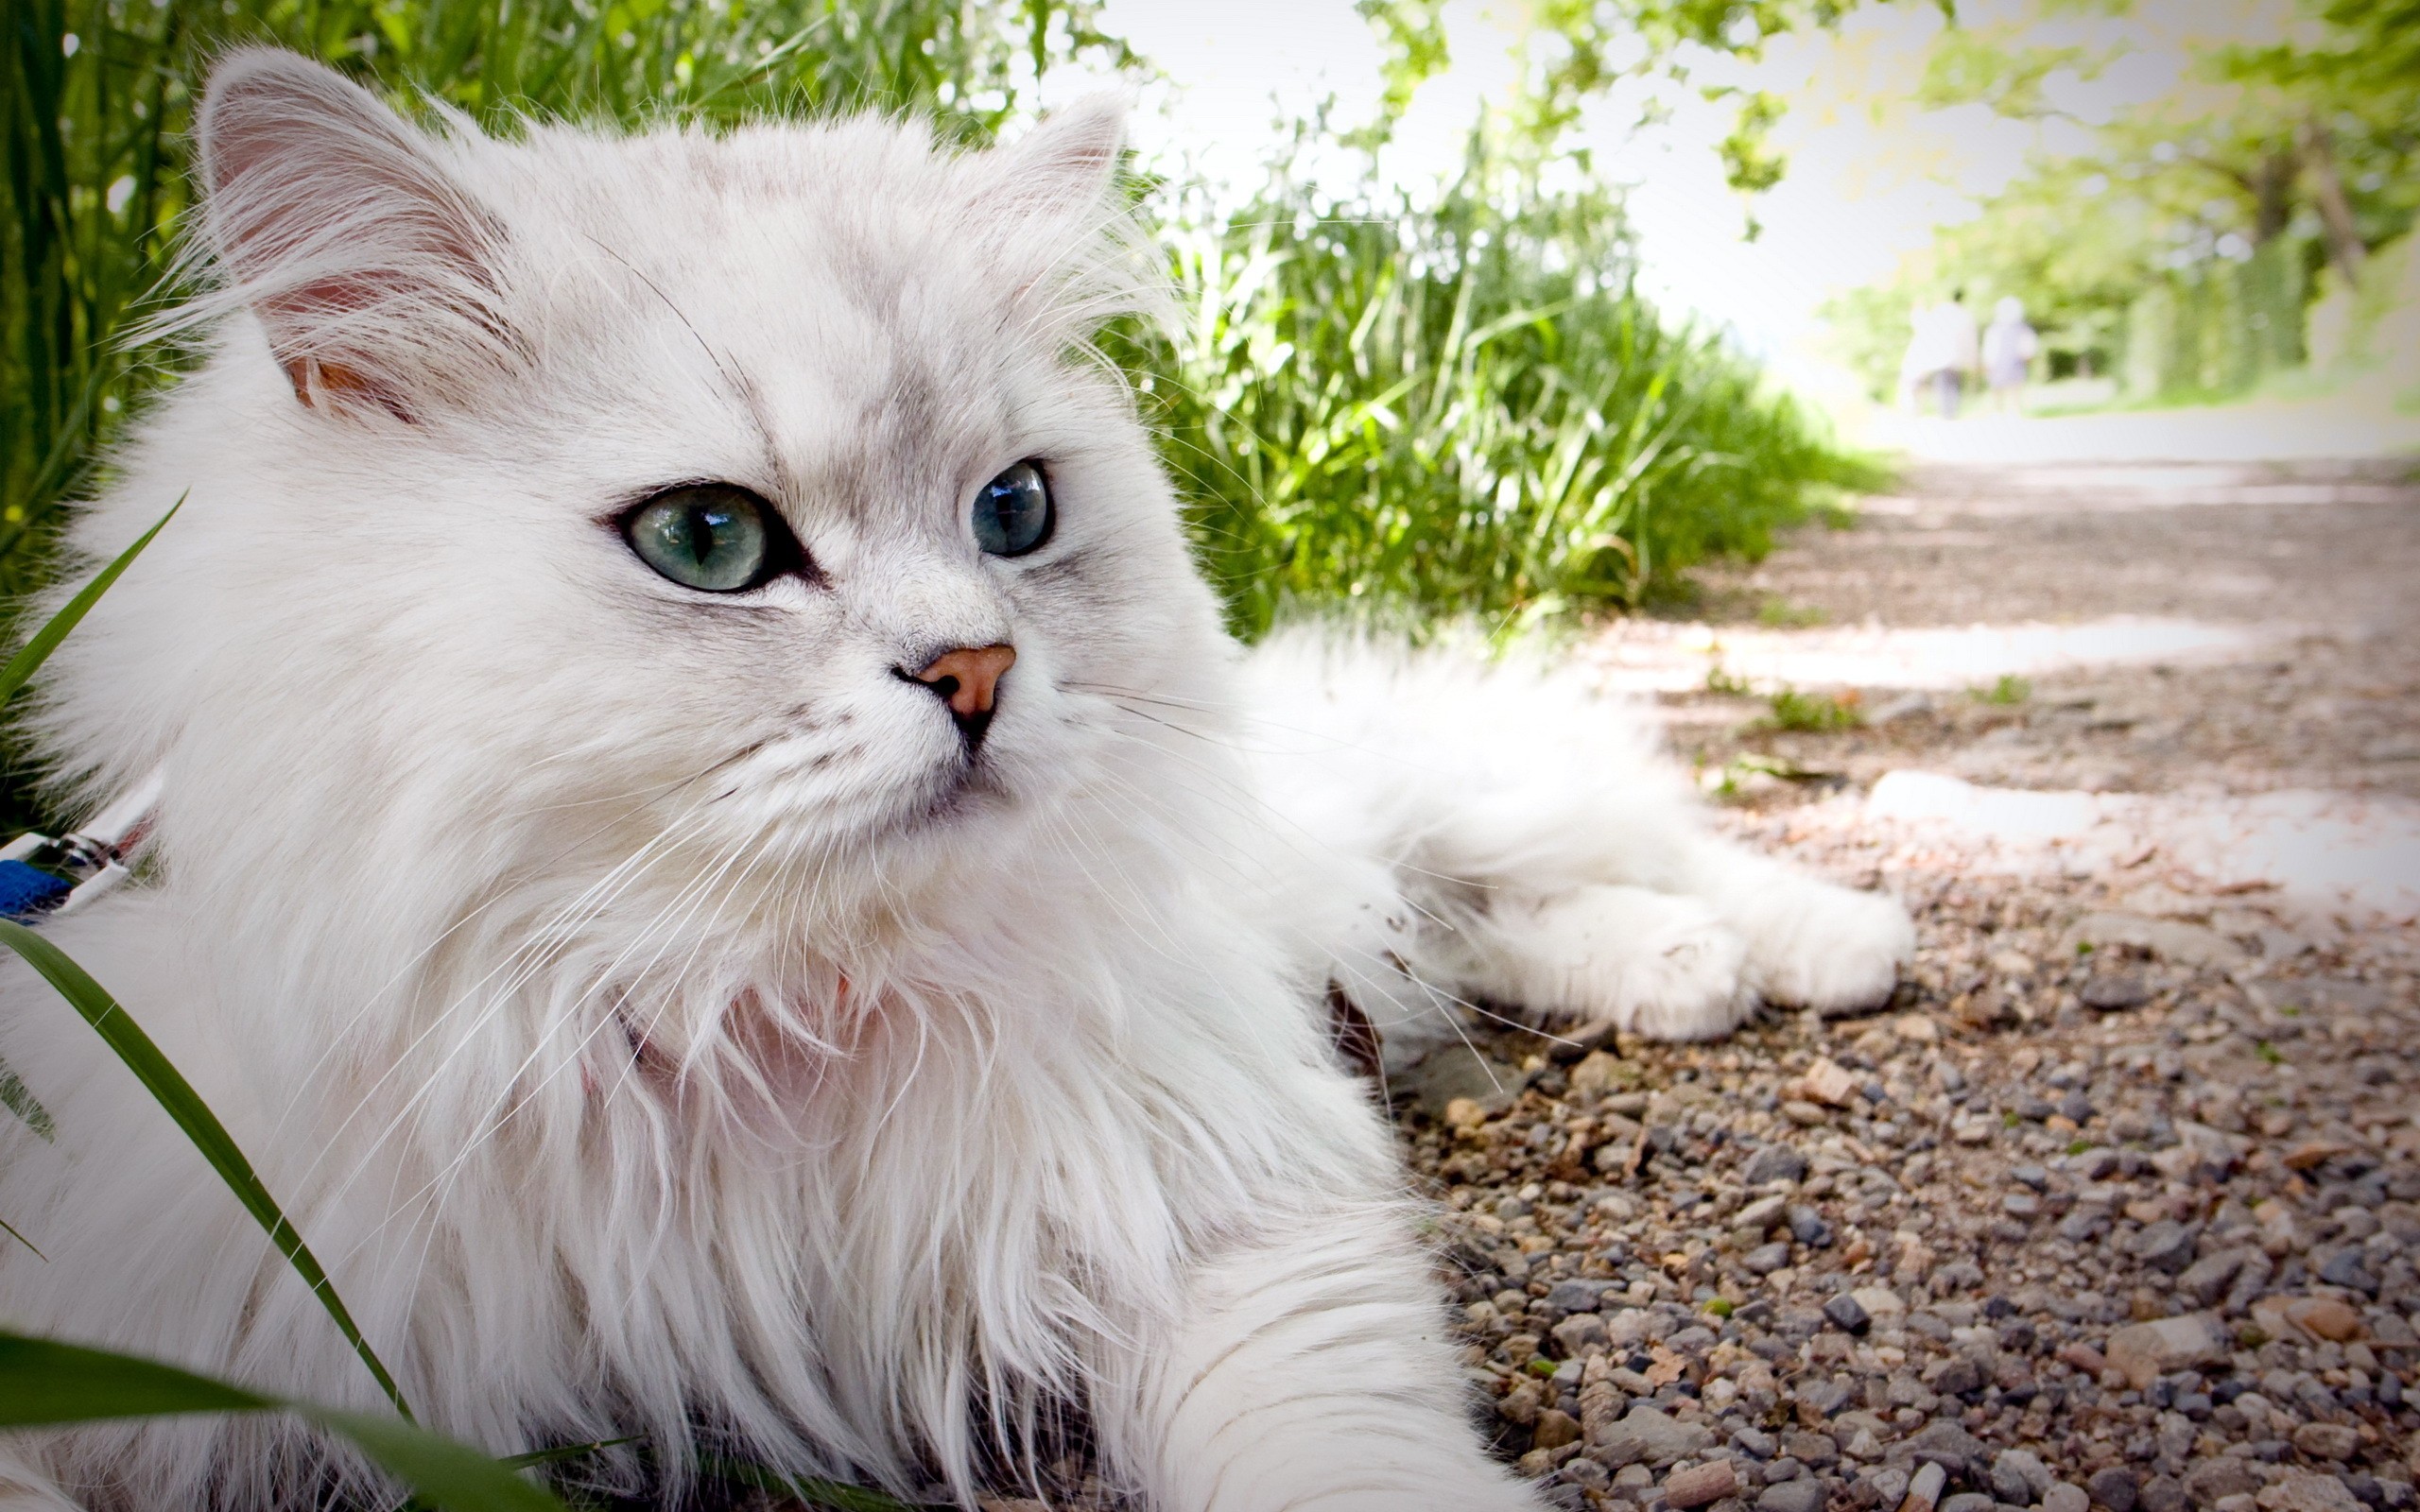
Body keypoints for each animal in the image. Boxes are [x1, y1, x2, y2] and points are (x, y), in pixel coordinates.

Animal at [0, 46, 1907, 1509]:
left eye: (1017, 512)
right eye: (709, 541)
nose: (978, 673)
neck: (747, 1019)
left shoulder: (1219, 1209)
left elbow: (1337, 1453)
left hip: (1434, 803)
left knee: (1644, 850)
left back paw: (1832, 948)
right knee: (1509, 926)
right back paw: (1689, 979)